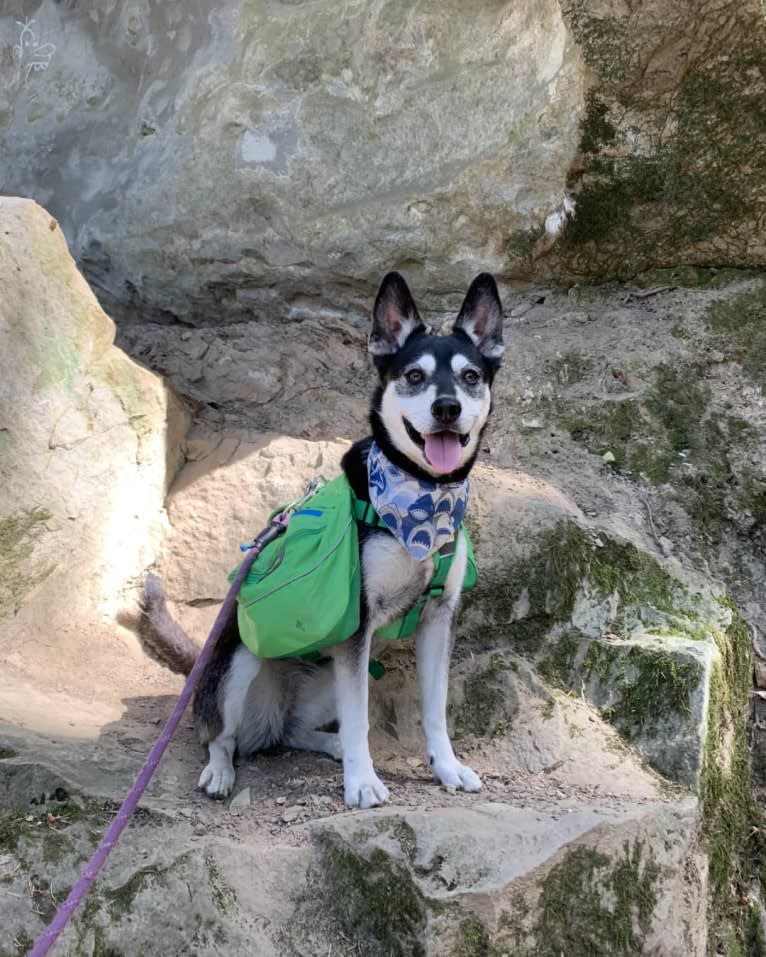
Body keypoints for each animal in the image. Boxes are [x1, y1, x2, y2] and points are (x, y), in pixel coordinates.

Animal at [141, 268, 508, 808]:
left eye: (471, 377)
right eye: (414, 376)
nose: (447, 407)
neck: (422, 495)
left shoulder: (437, 619)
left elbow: (435, 710)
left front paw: (447, 767)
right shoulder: (356, 625)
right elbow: (359, 720)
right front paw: (363, 783)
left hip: (326, 677)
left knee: (291, 730)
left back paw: (326, 745)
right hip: (239, 663)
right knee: (219, 735)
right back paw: (221, 771)